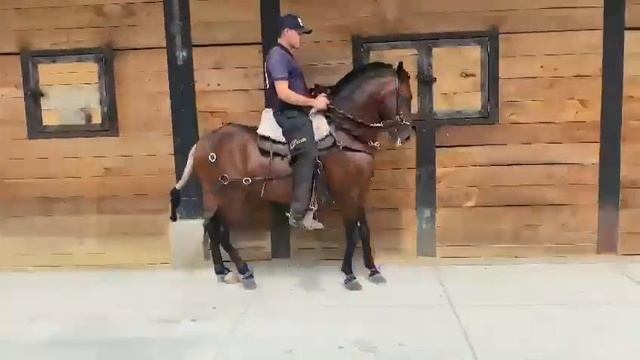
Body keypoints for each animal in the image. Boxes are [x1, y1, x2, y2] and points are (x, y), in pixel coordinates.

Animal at [168, 61, 412, 290]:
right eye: (406, 96)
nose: (407, 134)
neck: (345, 134)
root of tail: (202, 143)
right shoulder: (347, 193)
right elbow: (352, 231)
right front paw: (349, 274)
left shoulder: (359, 191)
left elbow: (364, 230)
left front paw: (373, 270)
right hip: (230, 197)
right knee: (221, 232)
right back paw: (244, 271)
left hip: (219, 197)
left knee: (211, 227)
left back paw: (222, 270)